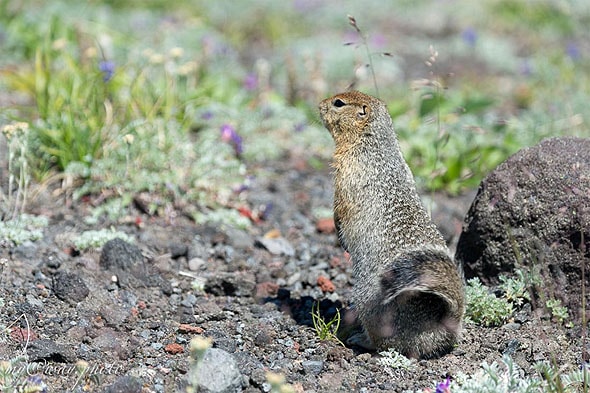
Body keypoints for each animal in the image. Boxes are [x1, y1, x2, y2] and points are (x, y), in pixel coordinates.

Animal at [320, 91, 468, 358]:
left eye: (338, 103)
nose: (319, 106)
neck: (372, 145)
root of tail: (443, 326)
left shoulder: (347, 177)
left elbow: (341, 209)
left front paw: (341, 236)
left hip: (369, 303)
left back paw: (360, 339)